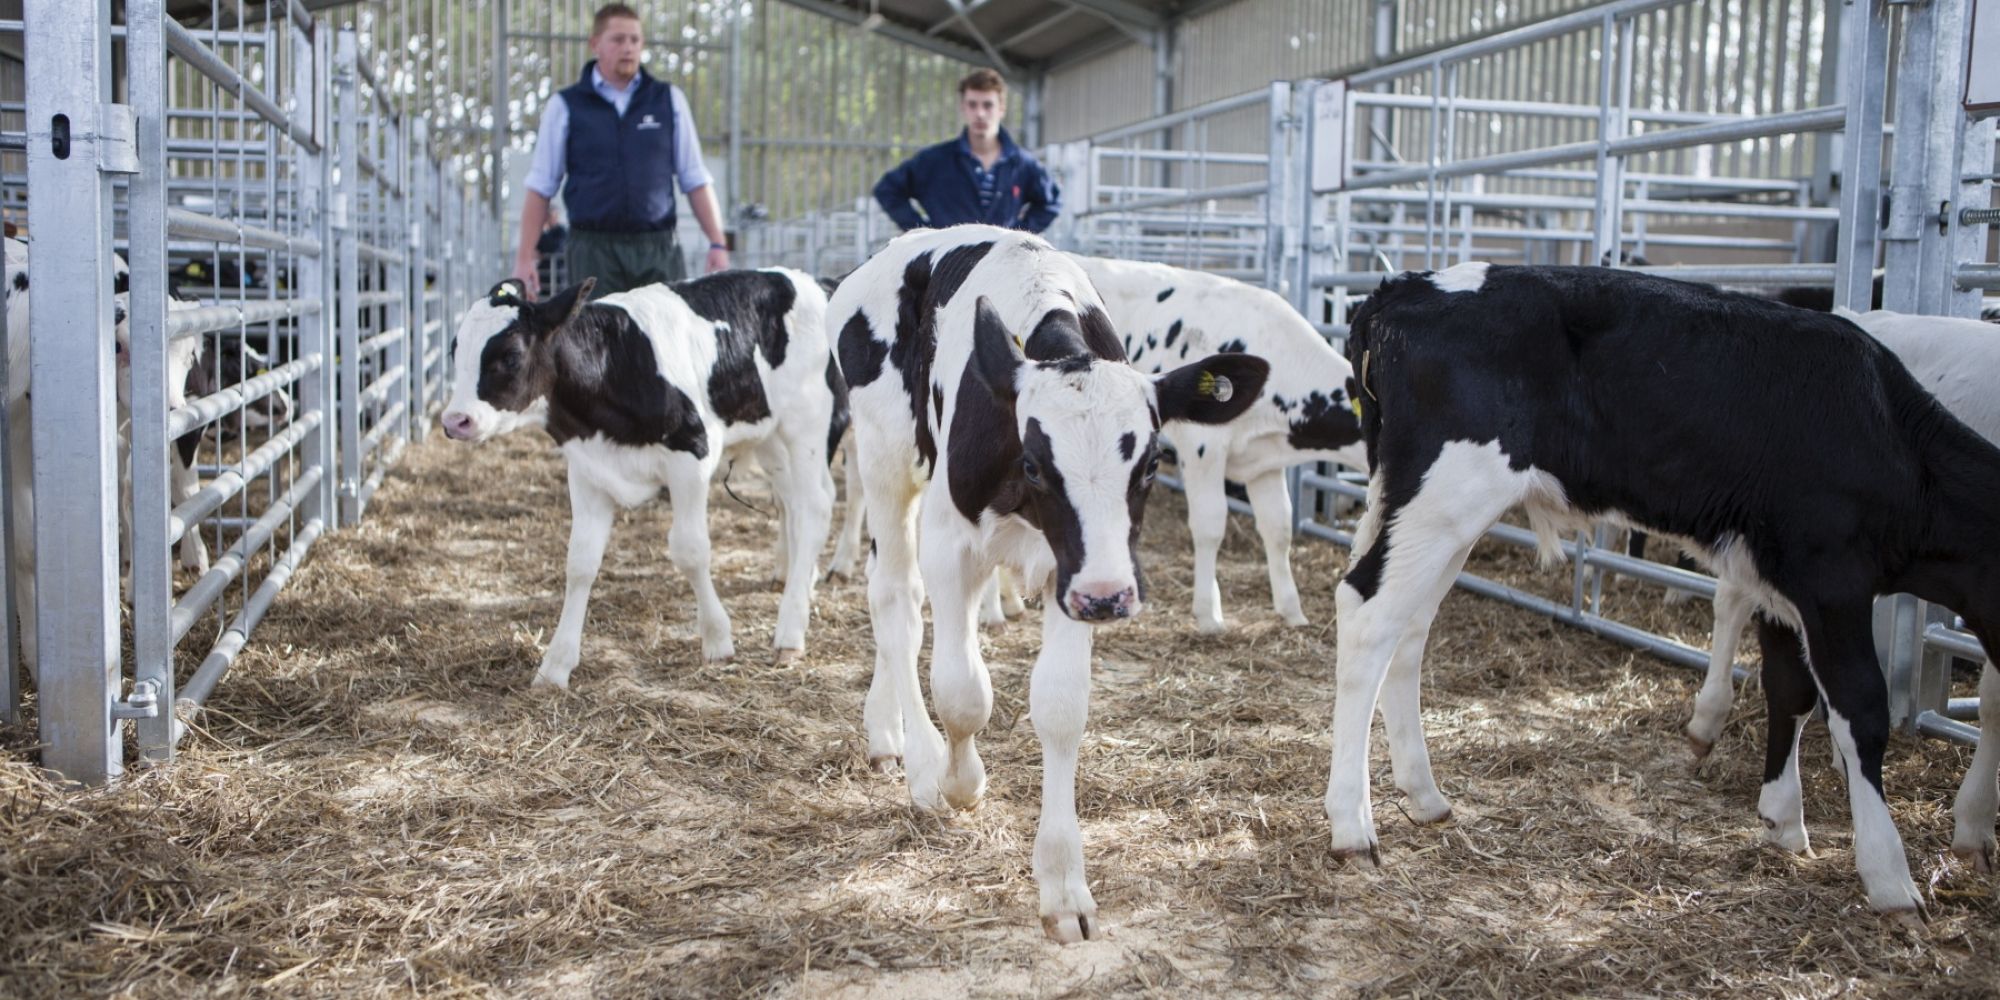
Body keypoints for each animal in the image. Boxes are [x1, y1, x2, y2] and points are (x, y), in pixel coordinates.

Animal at [440, 269, 837, 688]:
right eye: (455, 350)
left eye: (510, 356)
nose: (455, 420)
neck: (612, 366)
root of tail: (815, 281)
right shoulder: (588, 470)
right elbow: (580, 562)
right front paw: (556, 664)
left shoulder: (691, 455)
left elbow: (691, 551)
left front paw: (717, 639)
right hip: (770, 439)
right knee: (793, 502)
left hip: (807, 424)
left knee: (815, 506)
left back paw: (790, 631)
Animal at [830, 224, 1267, 942]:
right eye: (1035, 463)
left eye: (1152, 464)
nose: (1109, 597)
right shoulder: (952, 545)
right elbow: (962, 692)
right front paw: (960, 782)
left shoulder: (1076, 568)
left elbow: (1061, 707)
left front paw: (1063, 884)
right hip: (883, 456)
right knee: (895, 601)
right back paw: (920, 766)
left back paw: (883, 730)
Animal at [1073, 255, 1367, 632]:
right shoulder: (1204, 448)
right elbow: (1210, 526)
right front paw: (1208, 614)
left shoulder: (1263, 461)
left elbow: (1279, 528)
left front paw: (1292, 612)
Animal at [1328, 261, 1999, 921]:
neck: (1890, 435)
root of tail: (1404, 288)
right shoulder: (1832, 579)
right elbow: (1860, 707)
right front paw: (1890, 877)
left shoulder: (1782, 583)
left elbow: (1792, 689)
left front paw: (1784, 820)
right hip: (1446, 495)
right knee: (1368, 614)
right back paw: (1352, 828)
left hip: (1431, 512)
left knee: (1409, 628)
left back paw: (1424, 794)